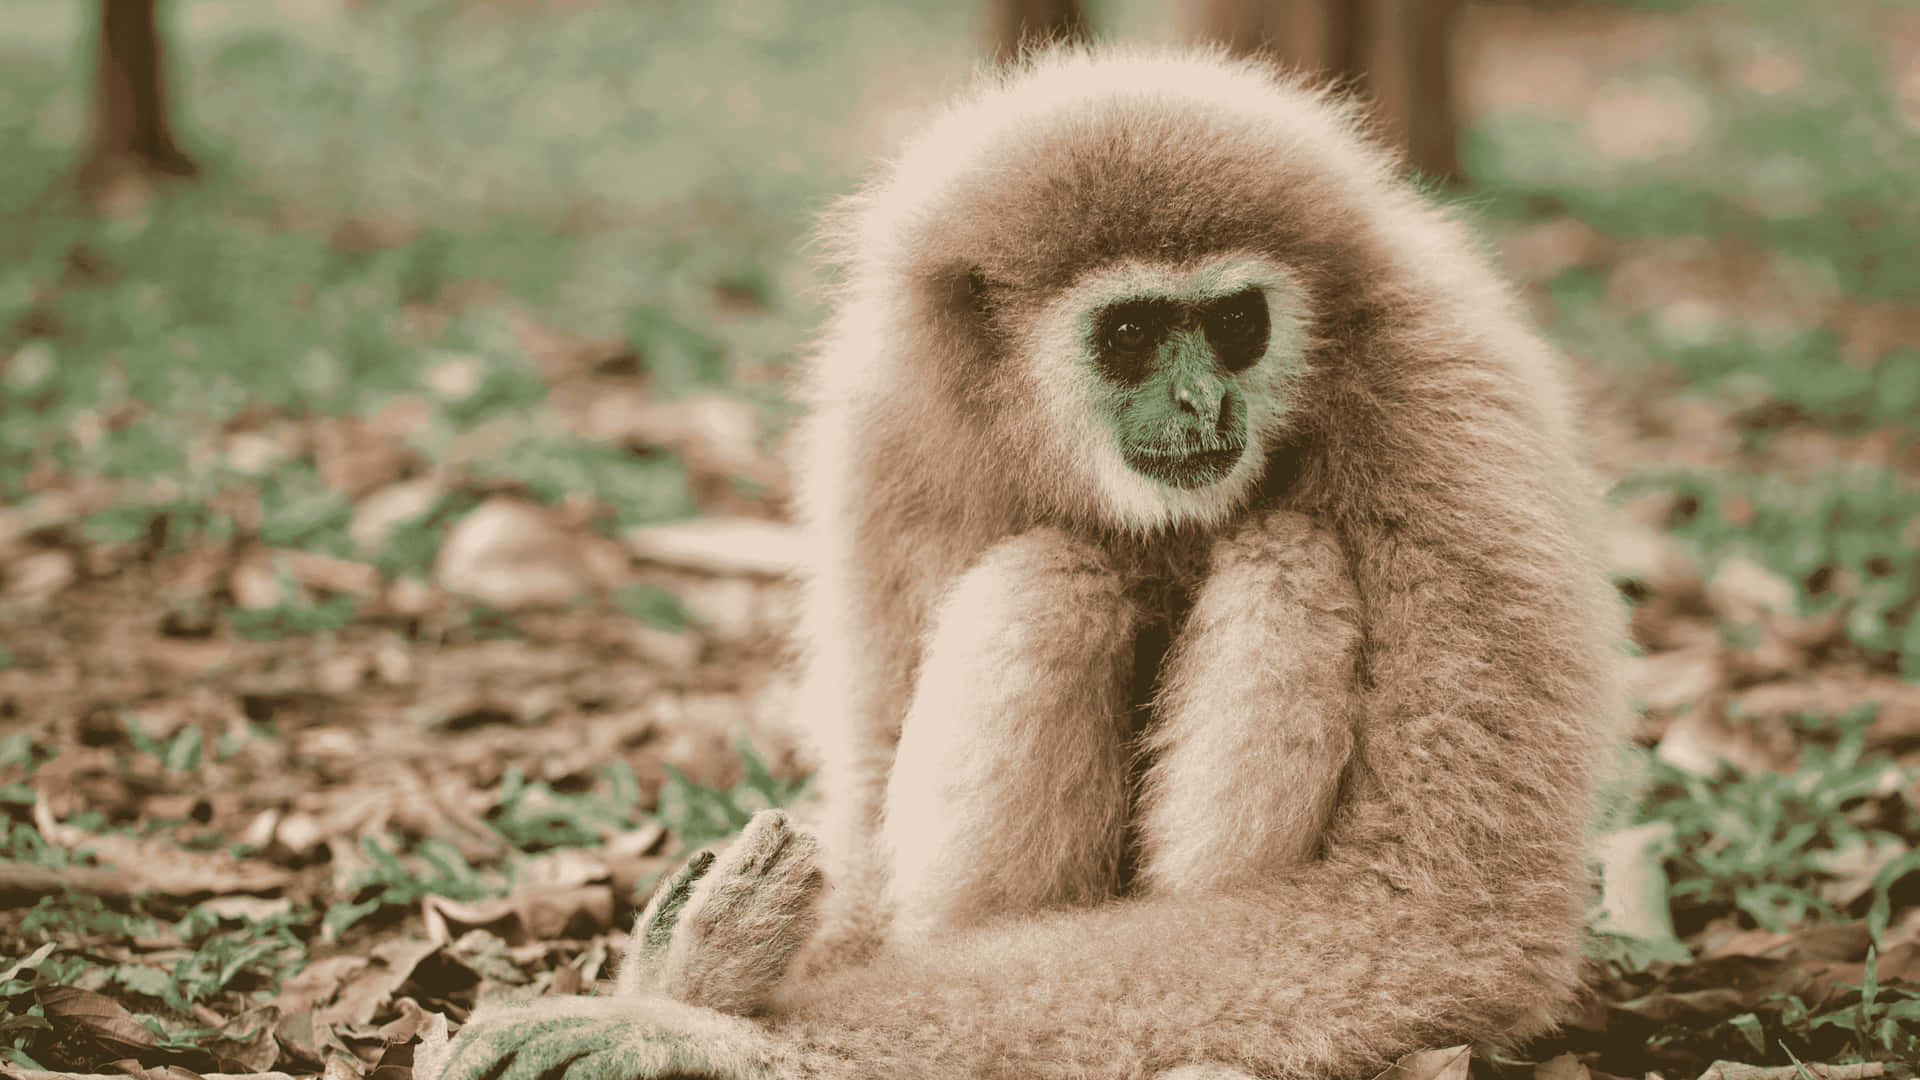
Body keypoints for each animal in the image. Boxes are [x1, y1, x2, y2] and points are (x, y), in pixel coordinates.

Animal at [430, 45, 1628, 1080]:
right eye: (1133, 334)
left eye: (1237, 321)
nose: (1202, 401)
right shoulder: (890, 426)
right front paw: (695, 974)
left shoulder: (1448, 413)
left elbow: (1439, 916)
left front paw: (695, 1030)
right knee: (1052, 579)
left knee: (1284, 558)